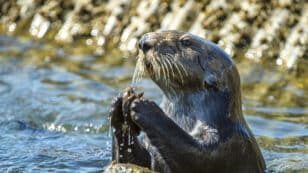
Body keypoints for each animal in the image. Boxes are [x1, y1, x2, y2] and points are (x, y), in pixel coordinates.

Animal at [109, 30, 266, 173]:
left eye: (185, 42)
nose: (143, 42)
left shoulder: (227, 144)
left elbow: (190, 152)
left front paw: (145, 108)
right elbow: (134, 161)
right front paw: (119, 108)